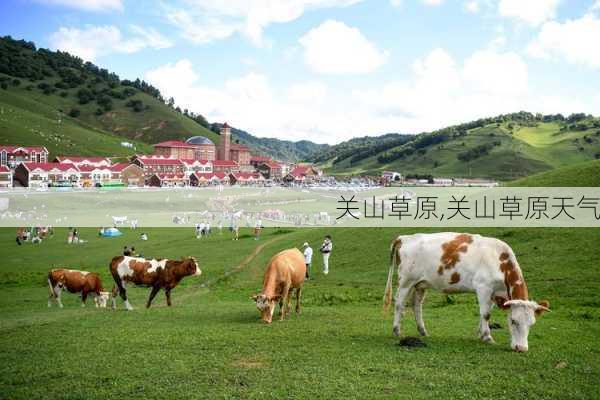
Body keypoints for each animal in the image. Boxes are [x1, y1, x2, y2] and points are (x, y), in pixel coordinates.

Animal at [384, 233, 548, 352]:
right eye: (513, 321)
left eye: (532, 323)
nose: (521, 348)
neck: (500, 261)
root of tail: (404, 237)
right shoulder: (483, 287)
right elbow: (485, 314)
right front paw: (487, 337)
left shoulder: (494, 293)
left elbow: (485, 313)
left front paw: (480, 333)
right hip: (406, 281)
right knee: (399, 303)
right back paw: (397, 331)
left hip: (420, 284)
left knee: (416, 305)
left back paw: (423, 331)